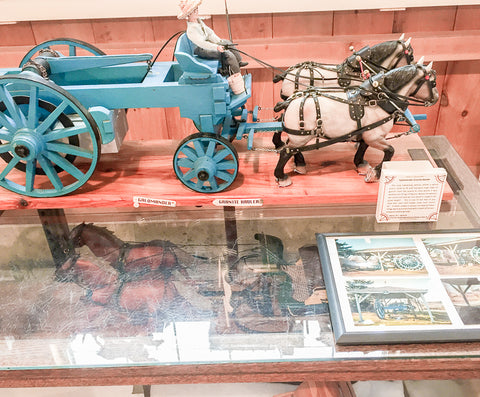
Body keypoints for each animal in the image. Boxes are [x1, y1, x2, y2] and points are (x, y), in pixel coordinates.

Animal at [274, 60, 438, 187]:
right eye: (433, 82)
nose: (436, 98)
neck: (380, 100)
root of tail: (289, 102)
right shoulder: (374, 137)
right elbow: (390, 151)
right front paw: (375, 174)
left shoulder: (366, 132)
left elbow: (364, 146)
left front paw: (361, 163)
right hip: (301, 136)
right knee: (286, 152)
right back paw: (282, 176)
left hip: (298, 137)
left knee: (291, 147)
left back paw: (299, 163)